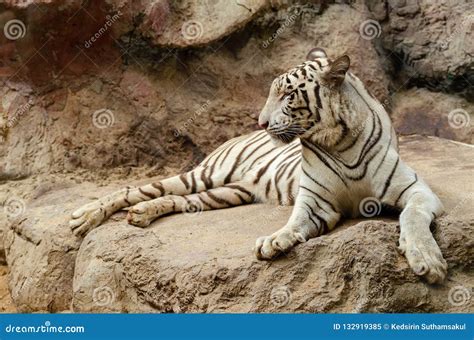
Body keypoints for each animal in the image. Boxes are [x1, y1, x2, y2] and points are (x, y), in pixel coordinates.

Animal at [68, 47, 446, 284]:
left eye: (288, 95)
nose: (261, 122)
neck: (338, 143)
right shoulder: (316, 201)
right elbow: (295, 222)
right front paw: (275, 240)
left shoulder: (417, 190)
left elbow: (412, 218)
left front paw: (427, 261)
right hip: (204, 175)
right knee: (135, 188)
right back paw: (84, 217)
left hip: (225, 193)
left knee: (176, 200)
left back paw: (141, 214)